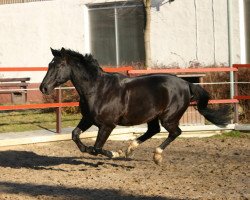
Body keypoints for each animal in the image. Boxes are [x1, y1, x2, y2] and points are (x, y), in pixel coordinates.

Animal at [39, 48, 230, 164]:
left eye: (59, 65)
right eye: (49, 64)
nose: (44, 88)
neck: (97, 89)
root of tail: (187, 83)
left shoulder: (107, 125)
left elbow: (97, 147)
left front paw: (114, 153)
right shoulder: (88, 119)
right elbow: (75, 135)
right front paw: (87, 149)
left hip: (168, 117)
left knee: (175, 132)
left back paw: (156, 155)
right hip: (152, 116)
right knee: (153, 130)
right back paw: (130, 148)